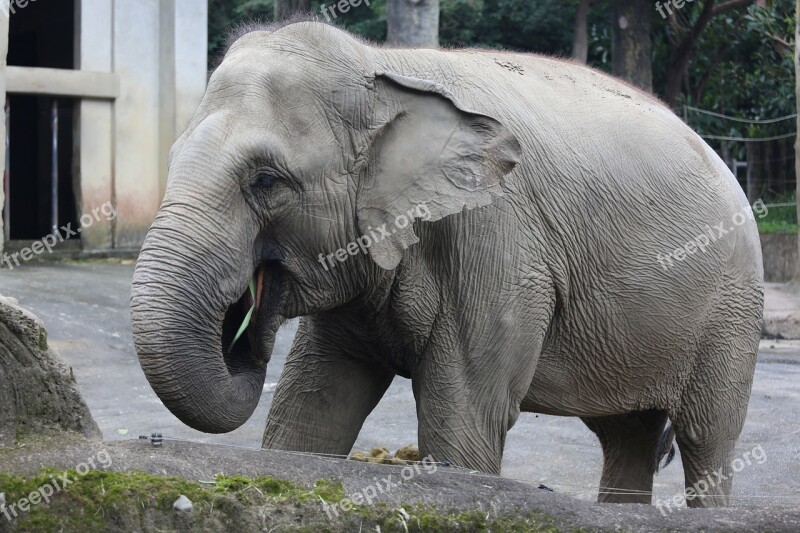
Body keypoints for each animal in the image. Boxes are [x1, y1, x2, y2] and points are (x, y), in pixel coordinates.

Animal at [130, 20, 764, 508]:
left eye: (265, 181)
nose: (248, 323)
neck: (383, 68)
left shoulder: (496, 244)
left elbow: (461, 419)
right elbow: (312, 403)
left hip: (732, 308)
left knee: (707, 437)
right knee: (627, 434)